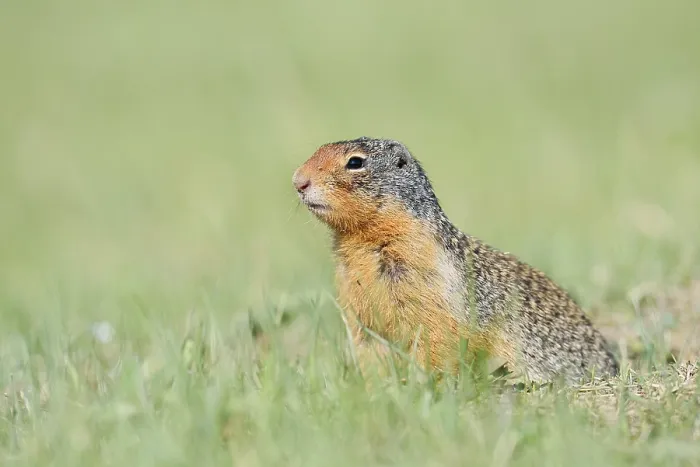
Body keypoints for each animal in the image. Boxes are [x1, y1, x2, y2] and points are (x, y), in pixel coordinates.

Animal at [292, 136, 619, 384]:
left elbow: (435, 343)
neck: (366, 242)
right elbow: (371, 350)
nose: (298, 181)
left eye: (355, 162)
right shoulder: (357, 310)